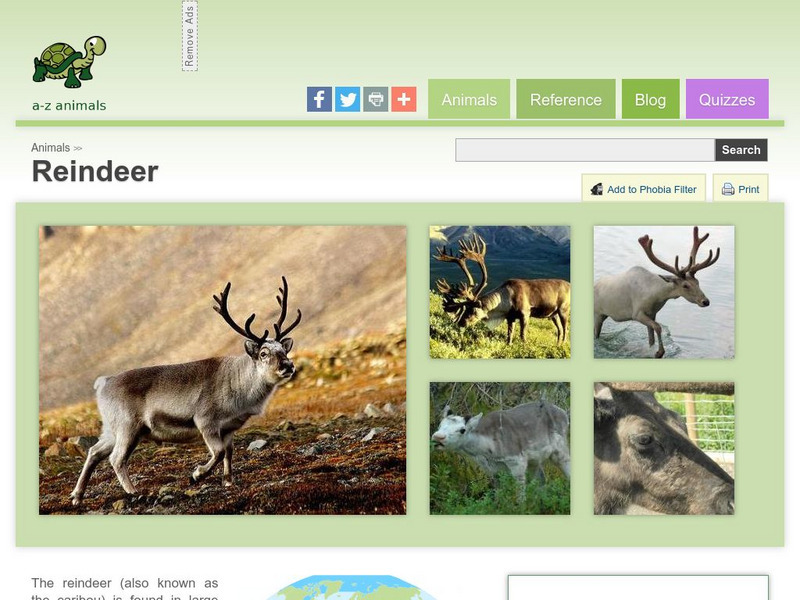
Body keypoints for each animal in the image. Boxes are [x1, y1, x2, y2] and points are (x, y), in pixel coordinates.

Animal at [70, 277, 302, 506]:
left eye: (283, 349)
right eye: (264, 353)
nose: (288, 365)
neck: (240, 386)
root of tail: (103, 383)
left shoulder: (228, 428)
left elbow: (229, 453)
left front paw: (228, 482)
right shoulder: (205, 420)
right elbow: (218, 452)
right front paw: (197, 475)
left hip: (112, 429)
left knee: (94, 452)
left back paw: (77, 496)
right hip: (129, 427)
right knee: (116, 458)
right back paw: (133, 491)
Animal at [434, 233, 571, 345]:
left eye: (472, 310)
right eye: (464, 309)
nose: (460, 323)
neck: (506, 300)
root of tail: (570, 285)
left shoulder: (525, 313)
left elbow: (522, 335)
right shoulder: (510, 317)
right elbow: (509, 336)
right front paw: (509, 345)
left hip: (563, 310)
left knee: (565, 329)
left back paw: (563, 345)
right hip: (553, 314)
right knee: (559, 329)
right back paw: (557, 345)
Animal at [593, 226, 720, 358]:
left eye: (697, 281)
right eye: (685, 285)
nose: (705, 301)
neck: (656, 296)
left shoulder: (652, 313)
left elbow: (651, 337)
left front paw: (653, 350)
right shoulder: (637, 313)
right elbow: (658, 327)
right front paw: (659, 352)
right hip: (597, 313)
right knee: (596, 334)